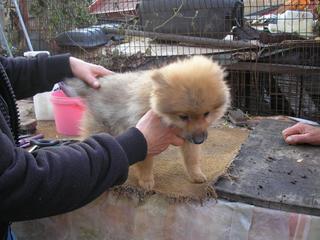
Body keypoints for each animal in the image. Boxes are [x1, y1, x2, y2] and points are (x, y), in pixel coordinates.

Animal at [67, 55, 230, 190]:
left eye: (206, 114)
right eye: (183, 116)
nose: (200, 140)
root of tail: (97, 85)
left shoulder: (189, 138)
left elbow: (192, 158)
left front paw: (196, 175)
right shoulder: (146, 136)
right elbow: (146, 163)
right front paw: (146, 181)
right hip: (101, 127)